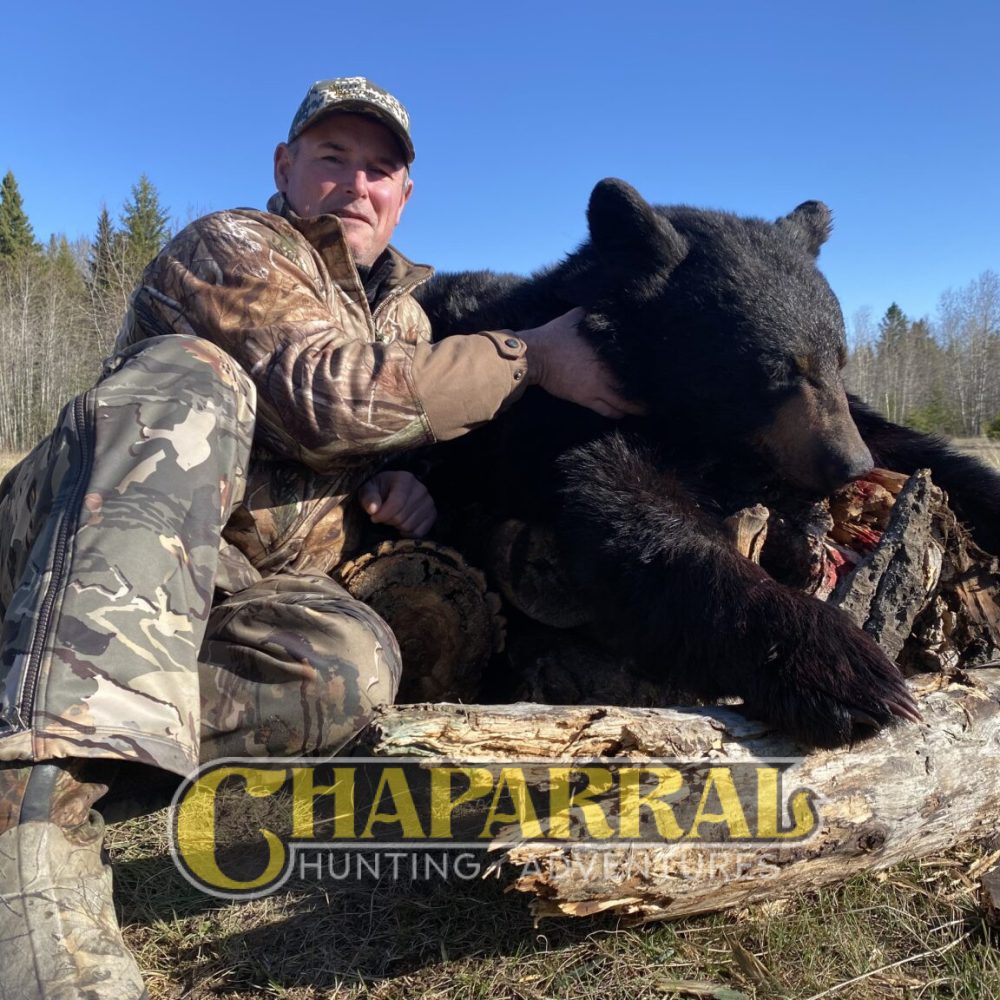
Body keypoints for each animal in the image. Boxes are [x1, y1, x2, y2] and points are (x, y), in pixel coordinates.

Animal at [414, 178, 1000, 748]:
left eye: (838, 358)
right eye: (777, 368)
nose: (849, 465)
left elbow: (913, 446)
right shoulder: (568, 412)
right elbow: (635, 519)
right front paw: (845, 671)